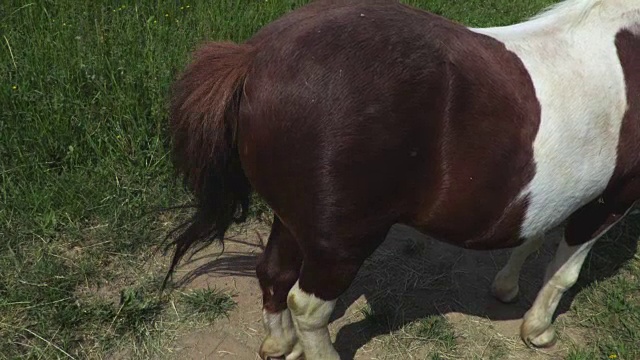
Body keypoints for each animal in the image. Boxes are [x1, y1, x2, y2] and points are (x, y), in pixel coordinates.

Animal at [164, 0, 640, 358]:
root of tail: (255, 58)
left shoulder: (553, 196)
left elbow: (533, 238)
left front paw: (506, 288)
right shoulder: (614, 198)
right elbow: (564, 273)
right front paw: (538, 329)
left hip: (295, 222)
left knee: (274, 273)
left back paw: (280, 345)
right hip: (343, 243)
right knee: (309, 306)